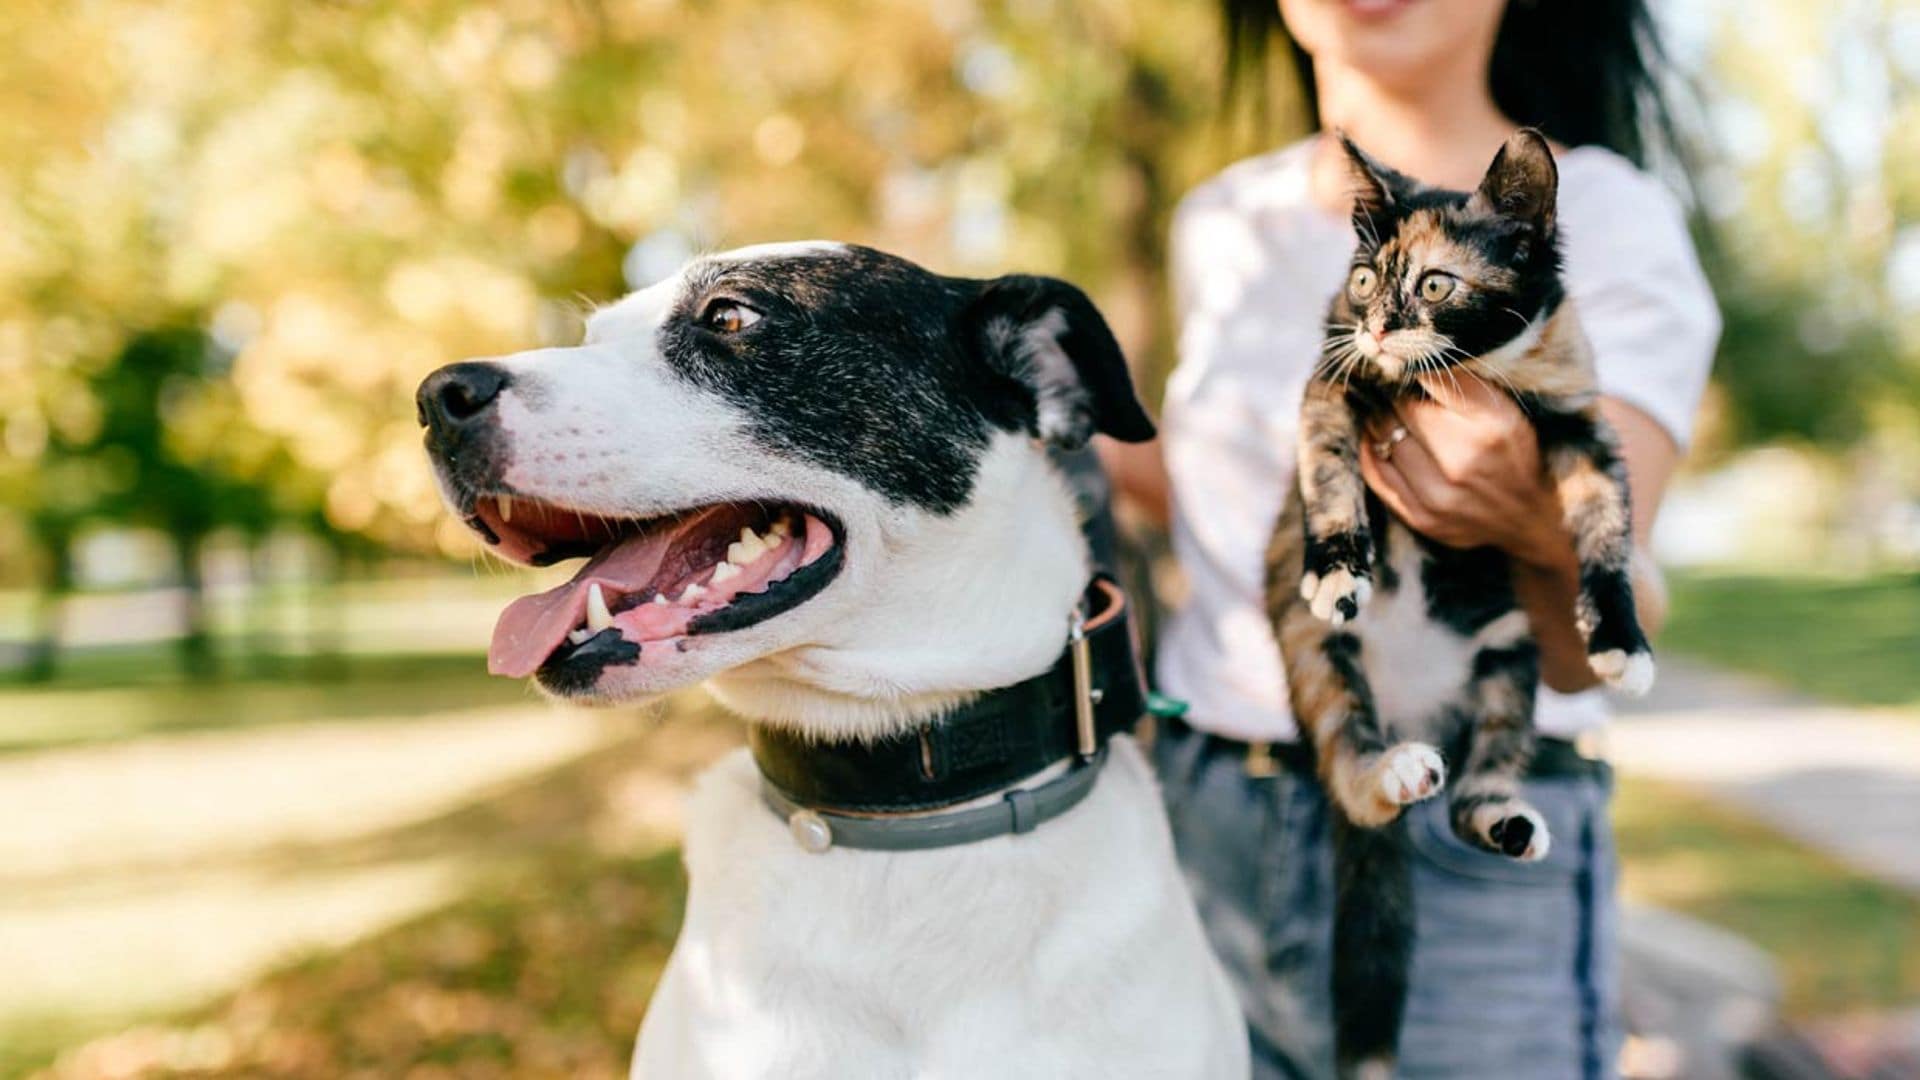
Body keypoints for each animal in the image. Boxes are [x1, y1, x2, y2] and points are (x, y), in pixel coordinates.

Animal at [1259, 127, 1651, 1076]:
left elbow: (1607, 528)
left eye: (1436, 285)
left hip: (1508, 660)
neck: (1477, 369)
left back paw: (1506, 821)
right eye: (1365, 280)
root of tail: (1411, 713)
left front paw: (1620, 639)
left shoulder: (1581, 423)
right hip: (1317, 661)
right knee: (1350, 767)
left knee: (1483, 776)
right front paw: (1339, 564)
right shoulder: (1333, 377)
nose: (1380, 322)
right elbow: (1328, 470)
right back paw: (1389, 768)